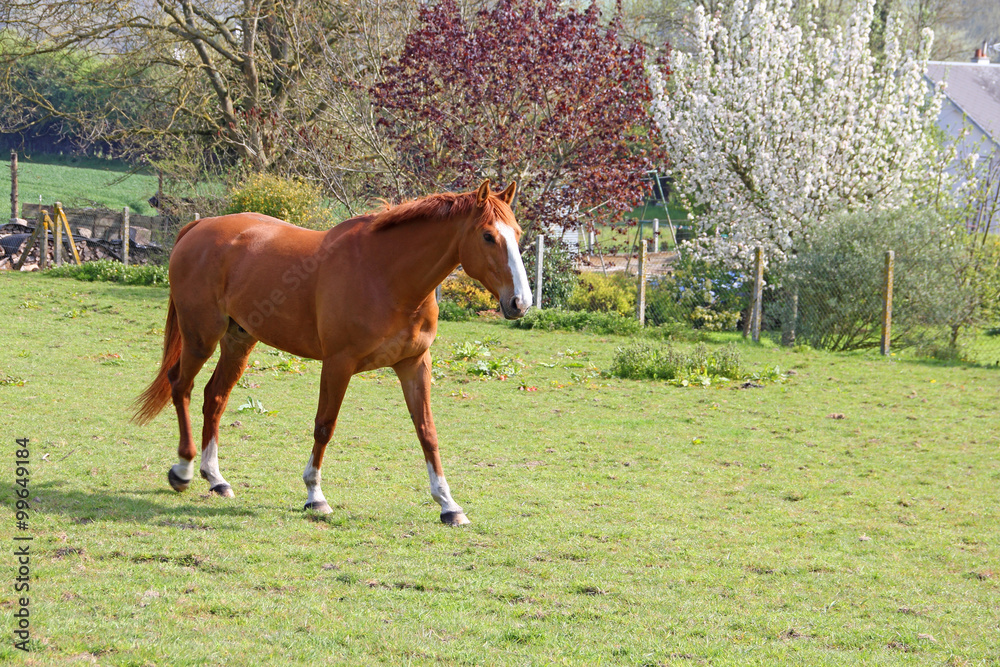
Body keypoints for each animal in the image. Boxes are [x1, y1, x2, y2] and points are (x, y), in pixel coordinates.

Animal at [132, 180, 531, 525]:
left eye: (518, 234)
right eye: (488, 235)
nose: (520, 302)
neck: (387, 275)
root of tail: (200, 226)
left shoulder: (414, 364)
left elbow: (427, 432)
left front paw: (449, 505)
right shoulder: (338, 363)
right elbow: (325, 426)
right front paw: (315, 496)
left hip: (238, 340)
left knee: (214, 398)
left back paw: (215, 478)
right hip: (201, 337)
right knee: (181, 386)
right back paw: (183, 470)